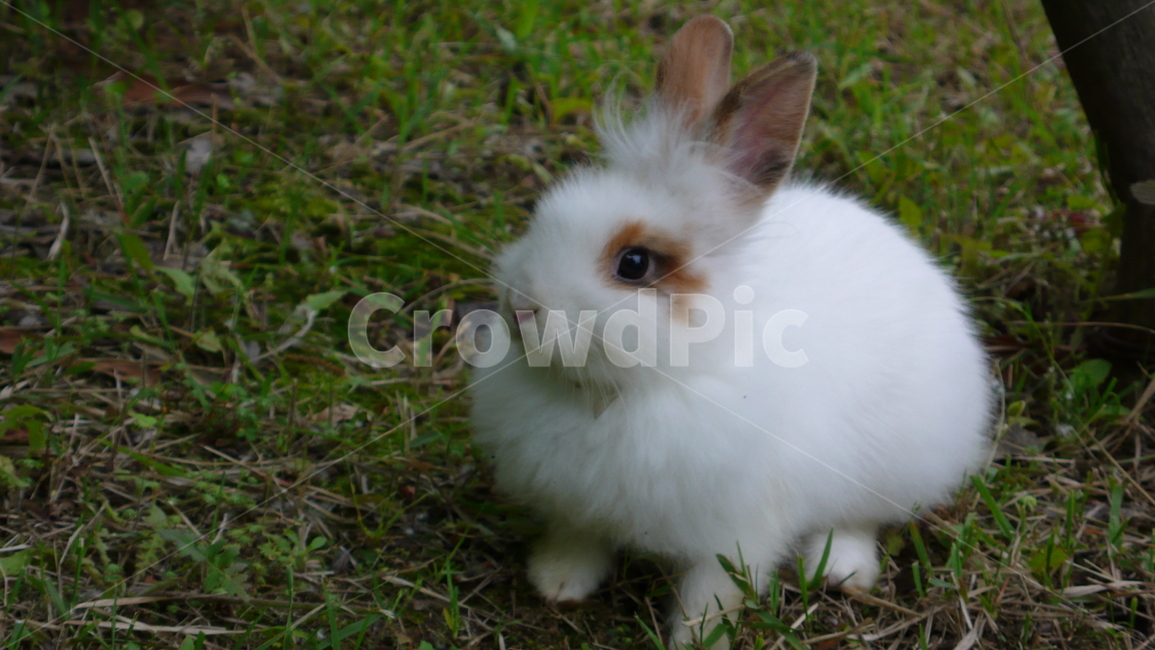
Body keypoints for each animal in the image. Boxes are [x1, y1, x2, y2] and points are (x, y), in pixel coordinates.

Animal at [468, 14, 991, 649]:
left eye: (634, 264)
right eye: (541, 217)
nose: (520, 305)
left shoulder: (740, 526)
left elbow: (714, 591)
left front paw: (694, 640)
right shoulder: (578, 505)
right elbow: (580, 539)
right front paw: (558, 582)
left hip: (897, 461)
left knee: (863, 515)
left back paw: (840, 570)